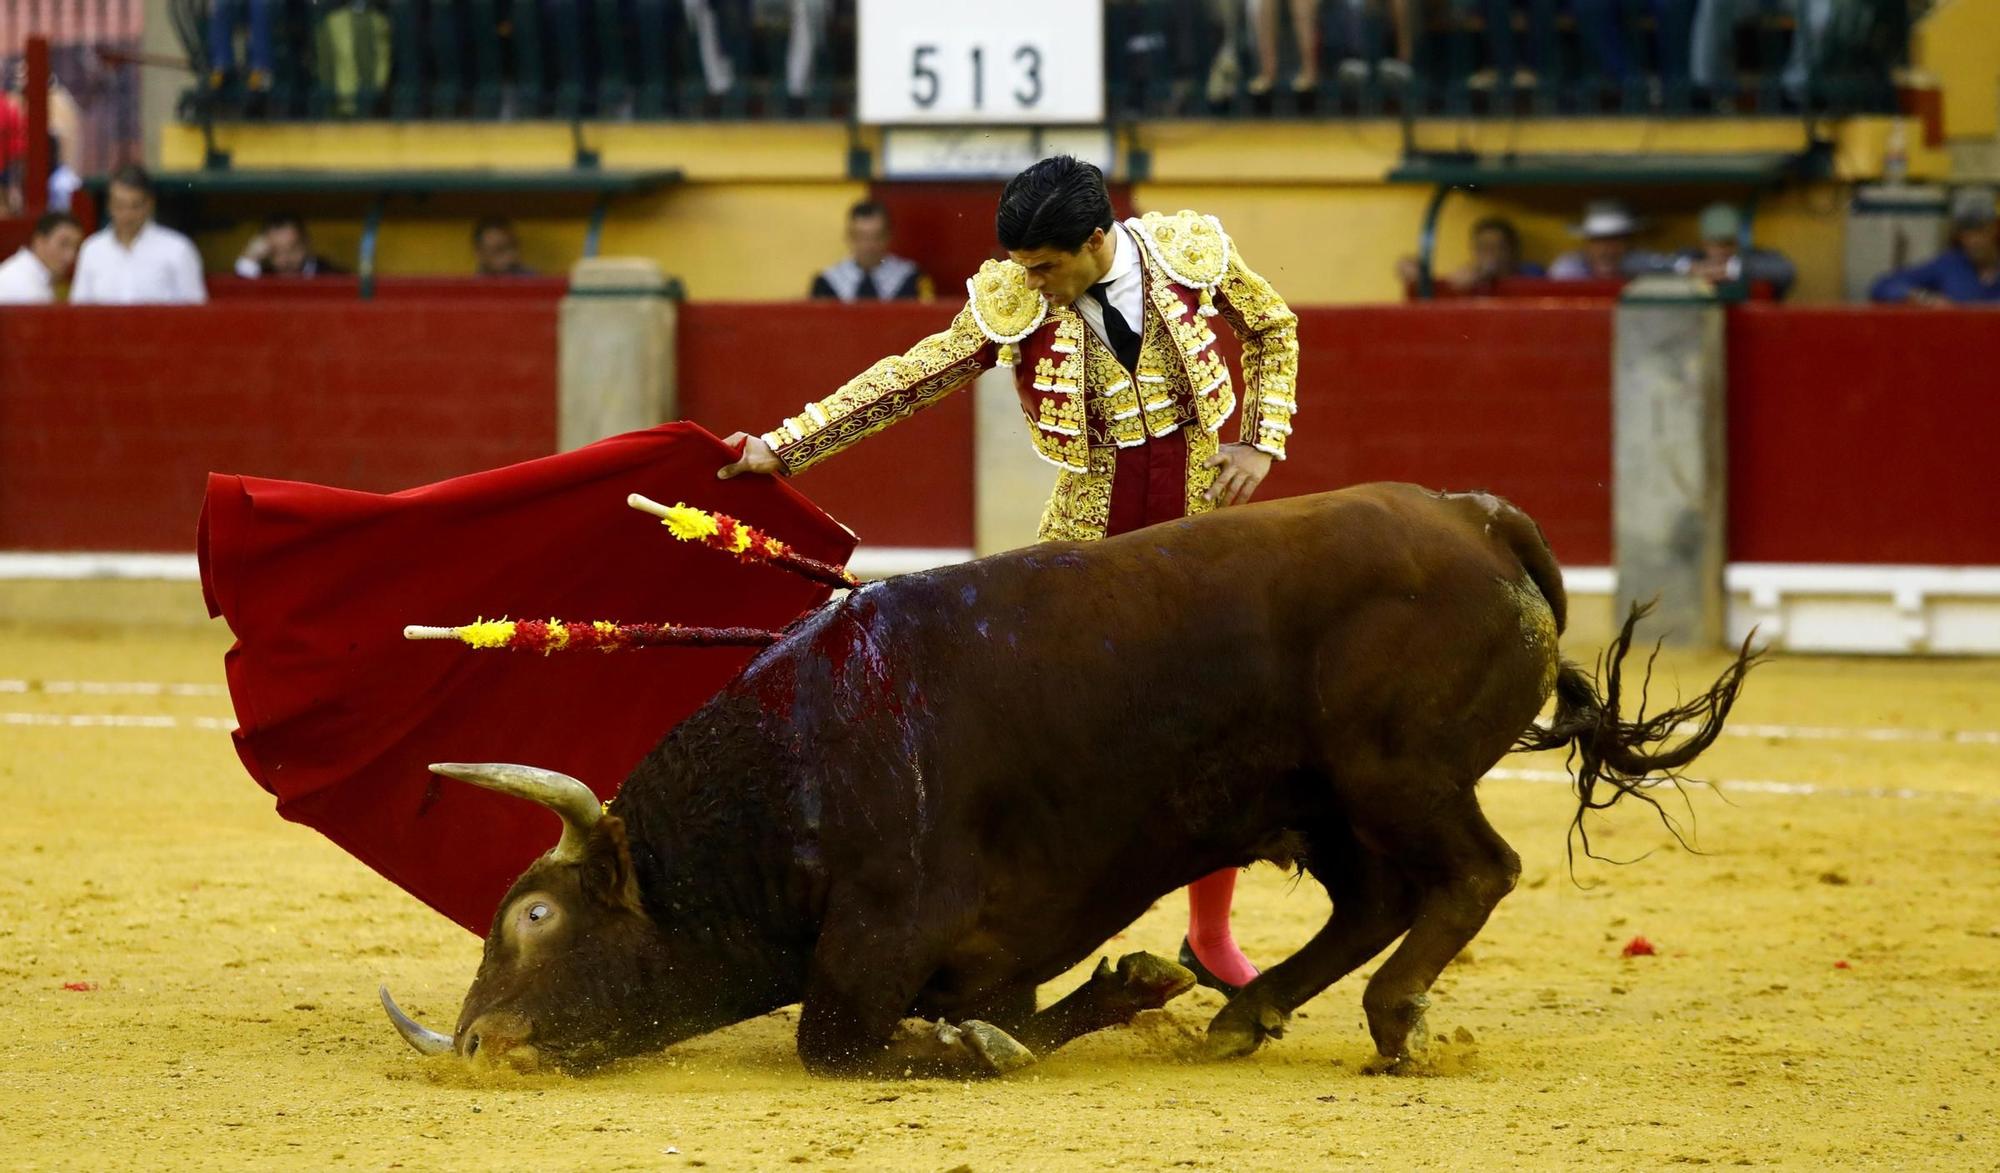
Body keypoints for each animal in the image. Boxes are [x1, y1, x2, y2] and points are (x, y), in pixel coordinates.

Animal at [376, 480, 1752, 1072]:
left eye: (535, 917)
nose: (475, 1045)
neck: (786, 780)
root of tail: (1474, 519)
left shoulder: (881, 936)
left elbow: (838, 1041)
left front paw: (986, 1046)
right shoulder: (991, 948)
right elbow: (1016, 1009)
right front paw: (1131, 988)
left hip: (1392, 774)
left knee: (1471, 872)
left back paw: (1391, 1021)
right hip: (1326, 799)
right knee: (1374, 901)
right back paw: (1247, 1012)